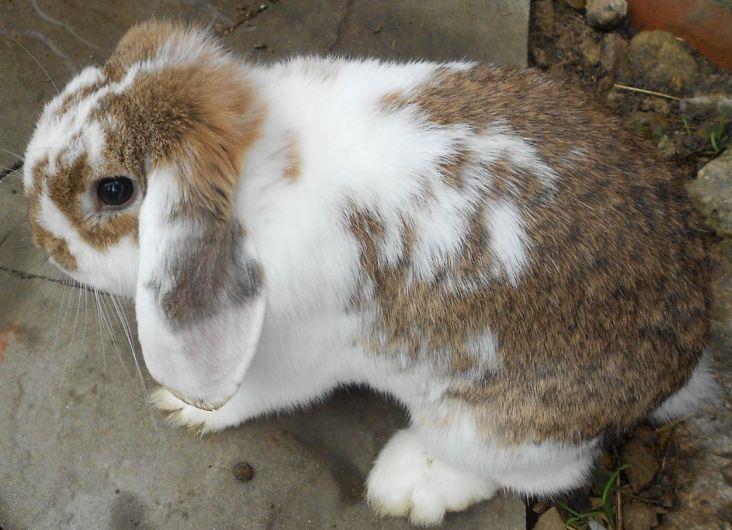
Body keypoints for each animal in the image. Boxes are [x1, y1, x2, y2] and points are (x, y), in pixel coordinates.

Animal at [23, 20, 712, 526]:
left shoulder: (290, 352)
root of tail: (679, 370)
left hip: (489, 425)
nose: (41, 238)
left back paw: (409, 485)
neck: (259, 174)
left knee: (539, 472)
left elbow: (251, 395)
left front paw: (182, 407)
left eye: (114, 190)